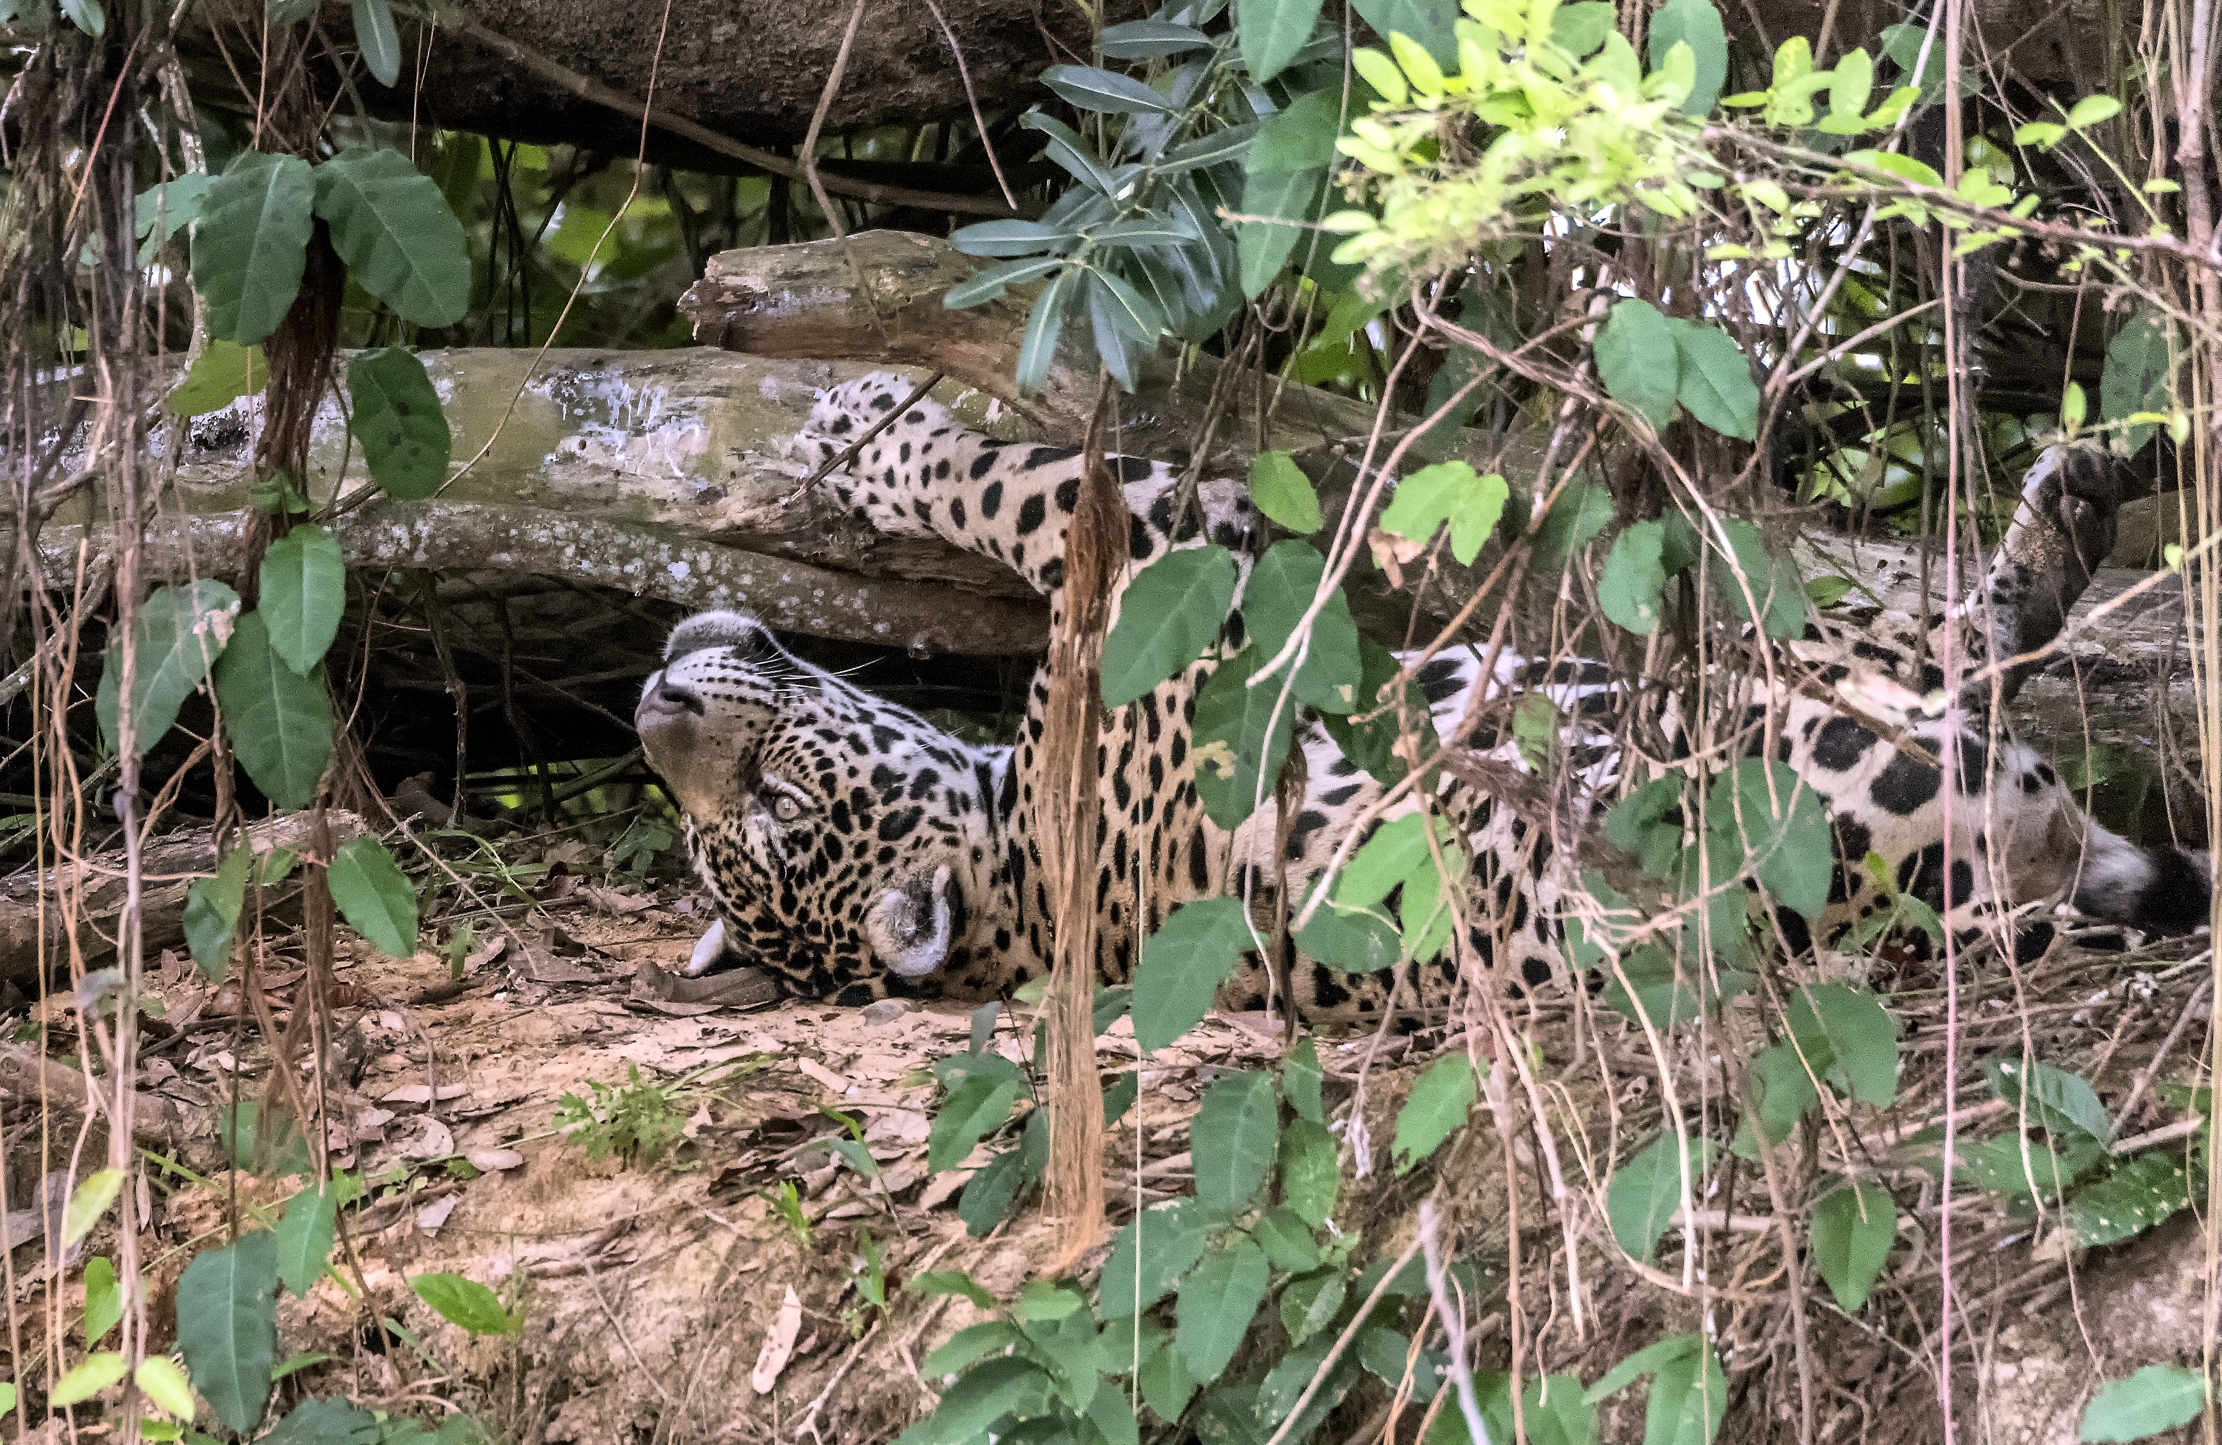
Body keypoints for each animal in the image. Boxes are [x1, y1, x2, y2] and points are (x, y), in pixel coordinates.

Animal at [634, 371, 2208, 1023]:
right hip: (1783, 714)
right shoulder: (1184, 583)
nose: (654, 703)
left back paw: (2063, 513)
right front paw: (865, 432)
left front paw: (857, 430)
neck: (1027, 877)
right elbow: (1032, 485)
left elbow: (1036, 481)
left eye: (757, 806)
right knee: (1939, 654)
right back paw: (2059, 531)